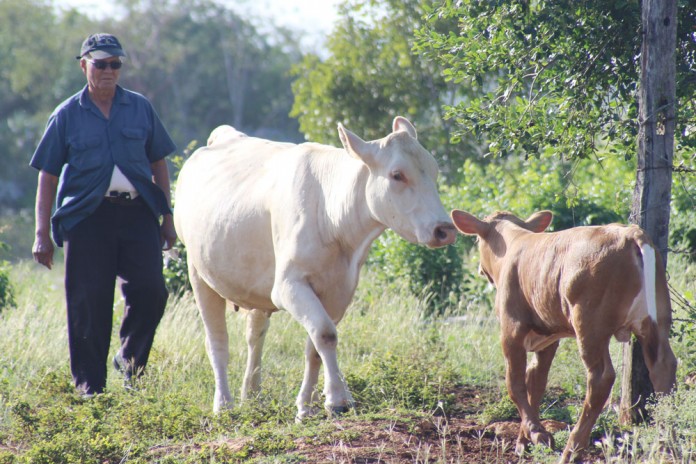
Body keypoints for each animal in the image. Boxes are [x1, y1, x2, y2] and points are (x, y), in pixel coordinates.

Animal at [174, 117, 457, 421]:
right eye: (397, 175)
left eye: (434, 170)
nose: (445, 229)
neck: (331, 215)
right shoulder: (288, 285)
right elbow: (324, 333)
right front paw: (337, 400)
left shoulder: (339, 291)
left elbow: (315, 346)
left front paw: (305, 408)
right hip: (198, 272)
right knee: (217, 342)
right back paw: (224, 404)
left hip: (254, 284)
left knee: (255, 335)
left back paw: (252, 395)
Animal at [450, 209, 677, 463]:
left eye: (477, 240)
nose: (480, 268)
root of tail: (630, 233)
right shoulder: (548, 338)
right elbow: (535, 383)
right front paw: (524, 441)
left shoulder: (511, 331)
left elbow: (515, 384)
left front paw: (538, 434)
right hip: (656, 320)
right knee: (662, 367)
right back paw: (668, 445)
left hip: (590, 325)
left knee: (601, 377)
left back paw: (572, 450)